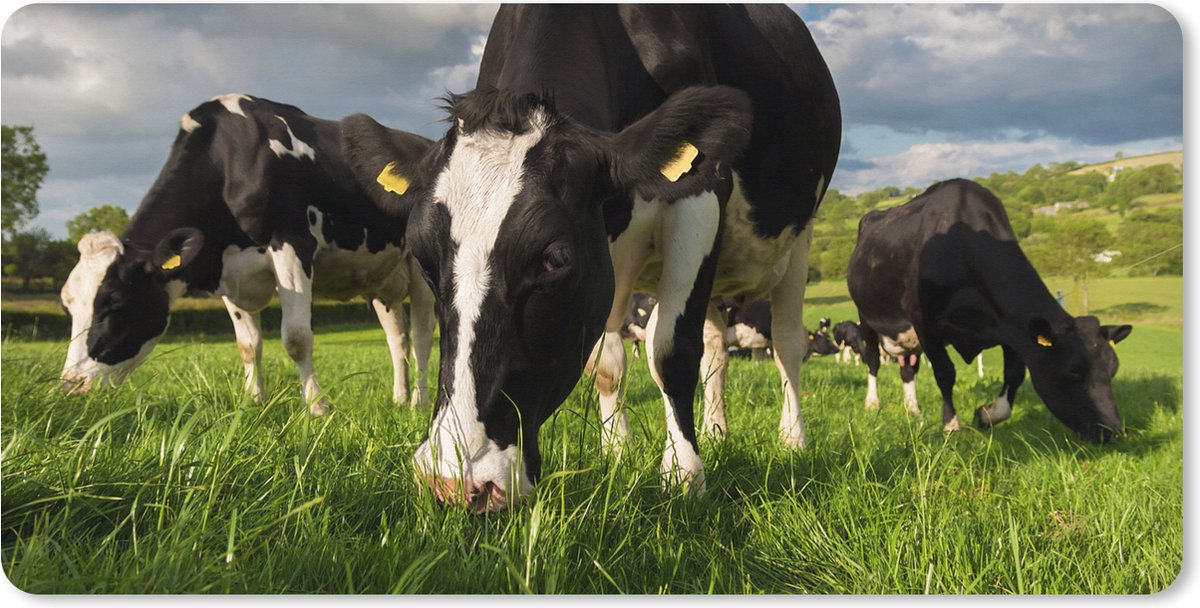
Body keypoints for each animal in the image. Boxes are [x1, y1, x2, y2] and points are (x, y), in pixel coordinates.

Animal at [59, 94, 437, 414]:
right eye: (68, 306)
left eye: (116, 302)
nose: (70, 386)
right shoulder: (229, 273)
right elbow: (247, 345)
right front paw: (253, 401)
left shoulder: (292, 244)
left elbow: (297, 338)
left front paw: (317, 407)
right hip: (381, 279)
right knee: (397, 337)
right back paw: (400, 398)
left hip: (420, 269)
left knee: (422, 335)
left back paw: (420, 402)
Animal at [341, 4, 840, 512]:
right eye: (423, 257)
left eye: (554, 258)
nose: (455, 481)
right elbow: (606, 363)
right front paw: (616, 450)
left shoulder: (699, 195)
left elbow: (671, 349)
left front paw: (684, 477)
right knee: (716, 348)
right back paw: (716, 431)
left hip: (800, 238)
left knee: (787, 343)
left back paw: (792, 439)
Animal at [846, 179, 1131, 441]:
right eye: (1072, 372)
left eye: (1113, 370)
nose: (1113, 432)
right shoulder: (924, 321)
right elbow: (945, 372)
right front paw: (951, 425)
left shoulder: (1012, 329)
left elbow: (1014, 375)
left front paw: (986, 415)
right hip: (867, 317)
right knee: (873, 359)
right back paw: (872, 402)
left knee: (908, 369)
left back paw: (913, 410)